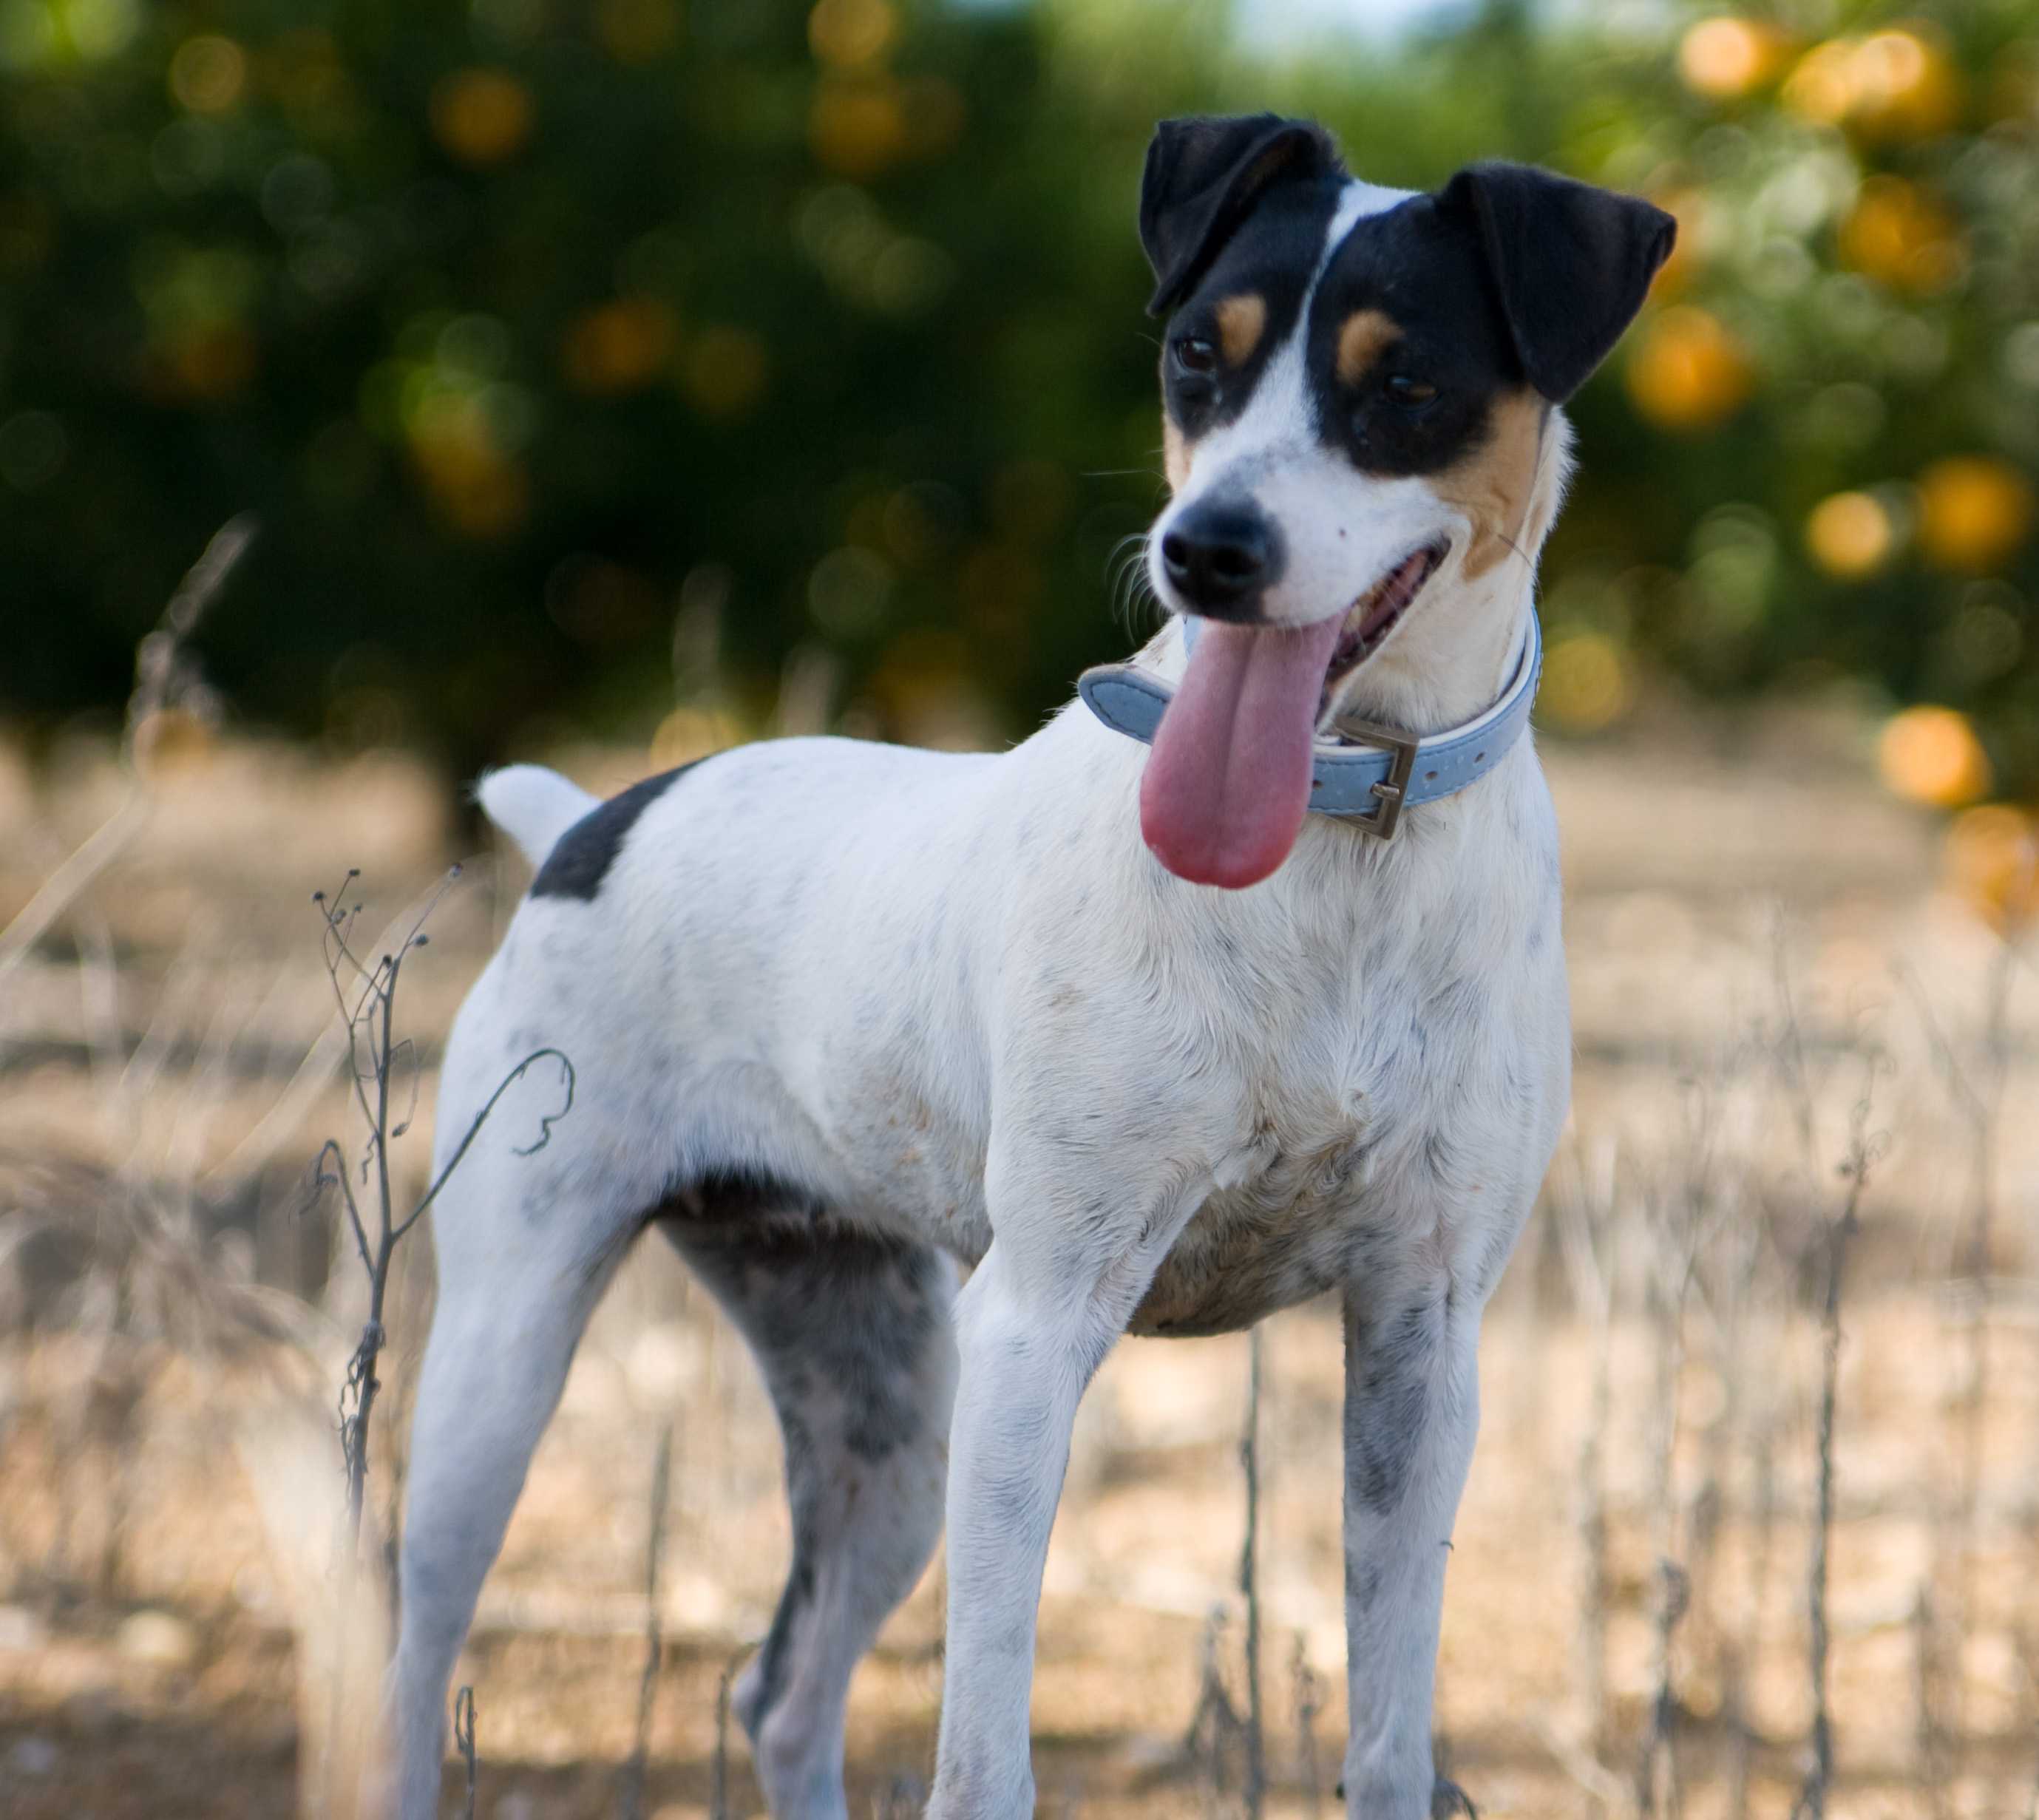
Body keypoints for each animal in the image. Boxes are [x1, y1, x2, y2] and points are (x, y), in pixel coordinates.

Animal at [385, 113, 1672, 1818]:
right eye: (1196, 356)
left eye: (1402, 383)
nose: (1204, 552)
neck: (1336, 844)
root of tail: (590, 821)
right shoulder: (1037, 1324)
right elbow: (984, 1763)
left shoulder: (1421, 1336)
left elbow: (1391, 1740)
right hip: (510, 1351)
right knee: (414, 1664)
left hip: (877, 1400)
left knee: (781, 1693)